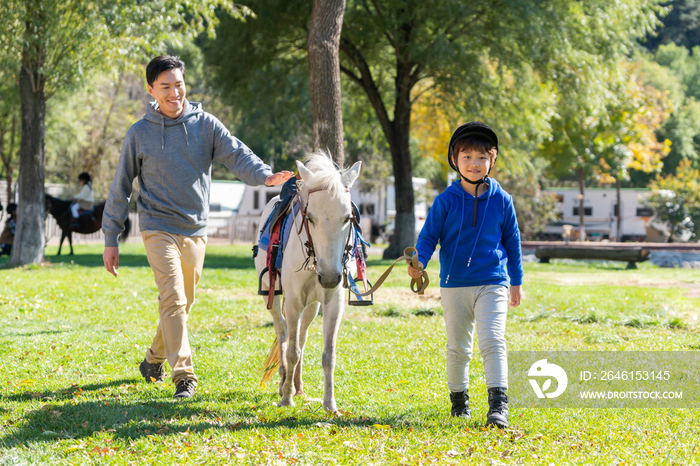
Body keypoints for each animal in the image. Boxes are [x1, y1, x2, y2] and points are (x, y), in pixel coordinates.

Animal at [258, 151, 364, 414]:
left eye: (348, 218)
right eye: (311, 218)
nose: (329, 276)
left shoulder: (333, 303)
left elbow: (328, 355)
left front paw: (330, 405)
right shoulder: (294, 301)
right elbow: (292, 351)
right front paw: (286, 399)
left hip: (312, 307)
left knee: (302, 336)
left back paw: (298, 386)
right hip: (274, 297)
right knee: (283, 332)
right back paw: (284, 383)